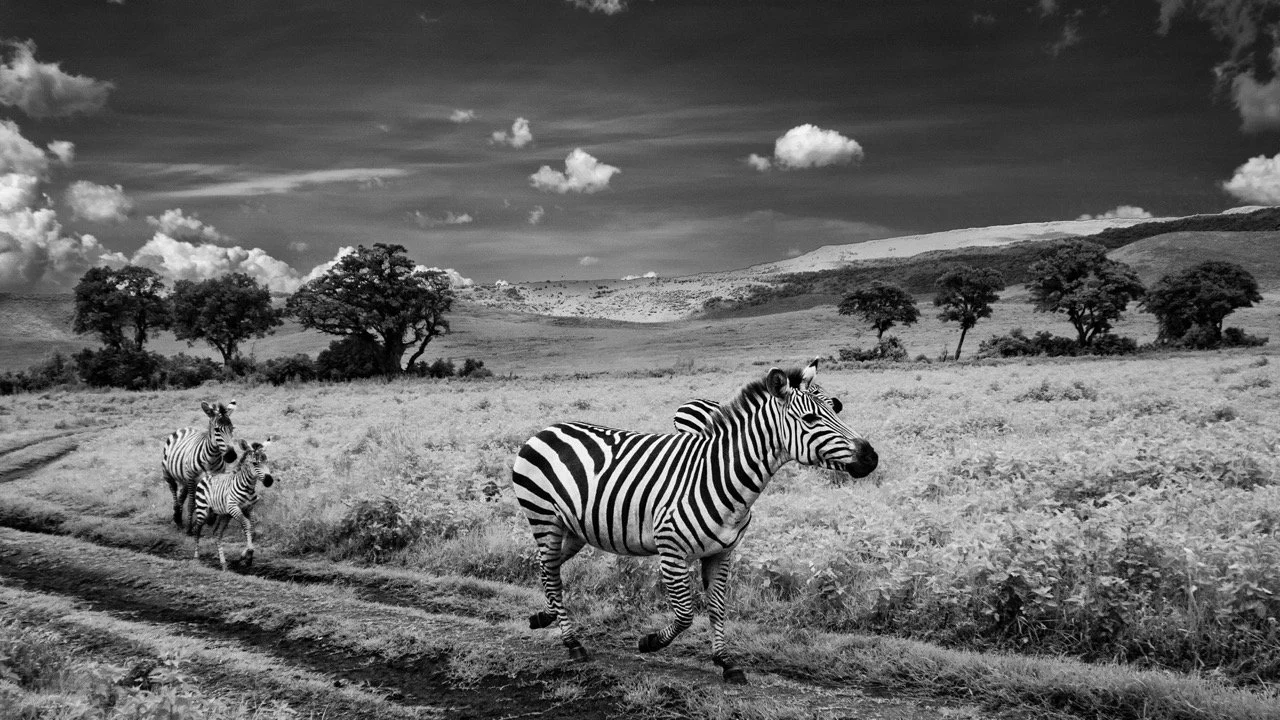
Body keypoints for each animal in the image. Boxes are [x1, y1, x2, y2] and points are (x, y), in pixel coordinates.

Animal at [162, 400, 238, 534]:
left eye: (231, 428)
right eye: (217, 429)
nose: (231, 456)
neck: (211, 458)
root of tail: (184, 428)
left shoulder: (213, 478)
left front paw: (208, 520)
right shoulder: (192, 477)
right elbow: (192, 504)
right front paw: (190, 529)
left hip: (185, 478)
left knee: (182, 495)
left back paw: (179, 518)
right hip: (169, 474)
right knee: (174, 490)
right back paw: (177, 517)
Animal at [193, 438, 276, 571]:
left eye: (266, 462)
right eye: (255, 463)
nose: (269, 481)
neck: (248, 488)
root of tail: (208, 475)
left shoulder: (249, 508)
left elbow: (252, 529)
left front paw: (244, 556)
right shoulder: (234, 508)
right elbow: (247, 525)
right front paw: (249, 553)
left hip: (224, 515)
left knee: (218, 534)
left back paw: (223, 563)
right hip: (203, 511)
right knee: (197, 528)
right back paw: (196, 557)